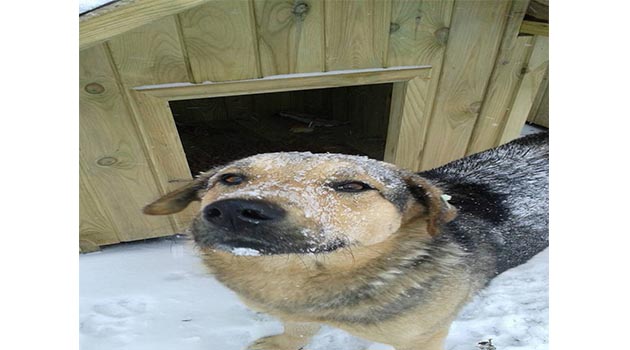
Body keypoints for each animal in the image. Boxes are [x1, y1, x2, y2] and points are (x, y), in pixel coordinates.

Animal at [143, 133, 548, 350]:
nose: (234, 211)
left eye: (352, 186)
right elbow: (297, 328)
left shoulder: (425, 335)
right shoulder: (296, 312)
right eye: (230, 178)